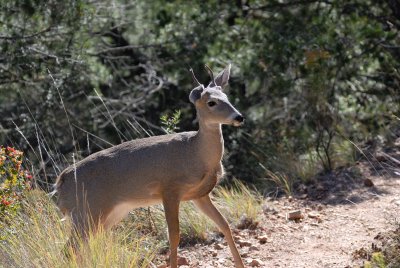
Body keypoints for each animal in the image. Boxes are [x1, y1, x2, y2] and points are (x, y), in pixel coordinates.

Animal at [54, 63, 245, 266]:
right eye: (211, 102)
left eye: (227, 97)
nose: (239, 117)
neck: (195, 152)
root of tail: (60, 182)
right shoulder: (170, 190)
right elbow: (174, 235)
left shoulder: (199, 195)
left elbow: (225, 225)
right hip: (86, 211)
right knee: (69, 249)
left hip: (108, 213)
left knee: (80, 247)